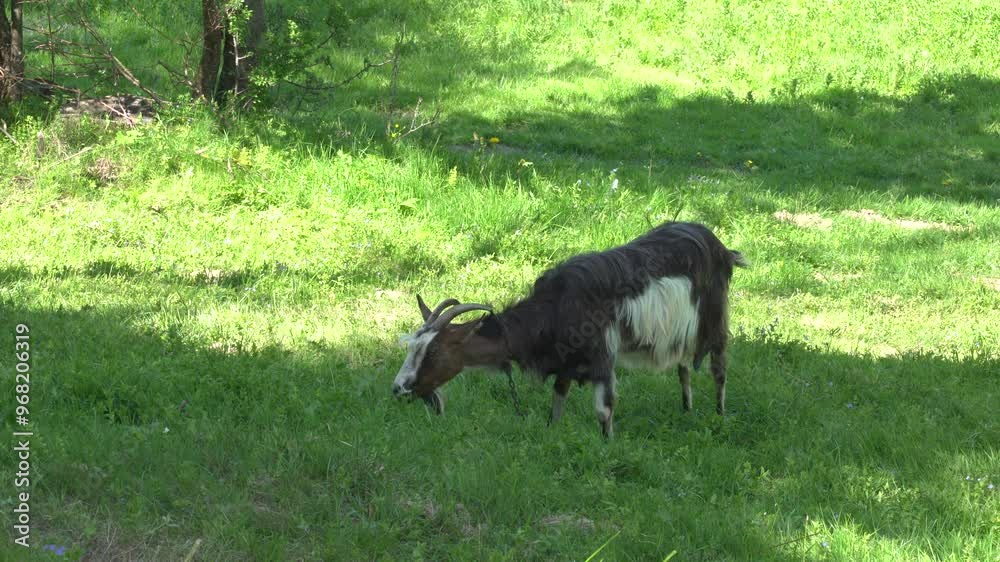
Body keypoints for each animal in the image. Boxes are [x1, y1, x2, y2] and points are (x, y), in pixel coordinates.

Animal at [391, 222, 747, 436]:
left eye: (433, 352)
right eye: (412, 348)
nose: (398, 388)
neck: (555, 308)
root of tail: (720, 246)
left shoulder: (601, 356)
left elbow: (604, 410)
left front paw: (607, 448)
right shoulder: (564, 361)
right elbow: (557, 399)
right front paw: (553, 434)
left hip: (715, 320)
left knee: (719, 368)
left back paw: (718, 416)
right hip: (681, 332)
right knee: (684, 367)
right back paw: (686, 411)